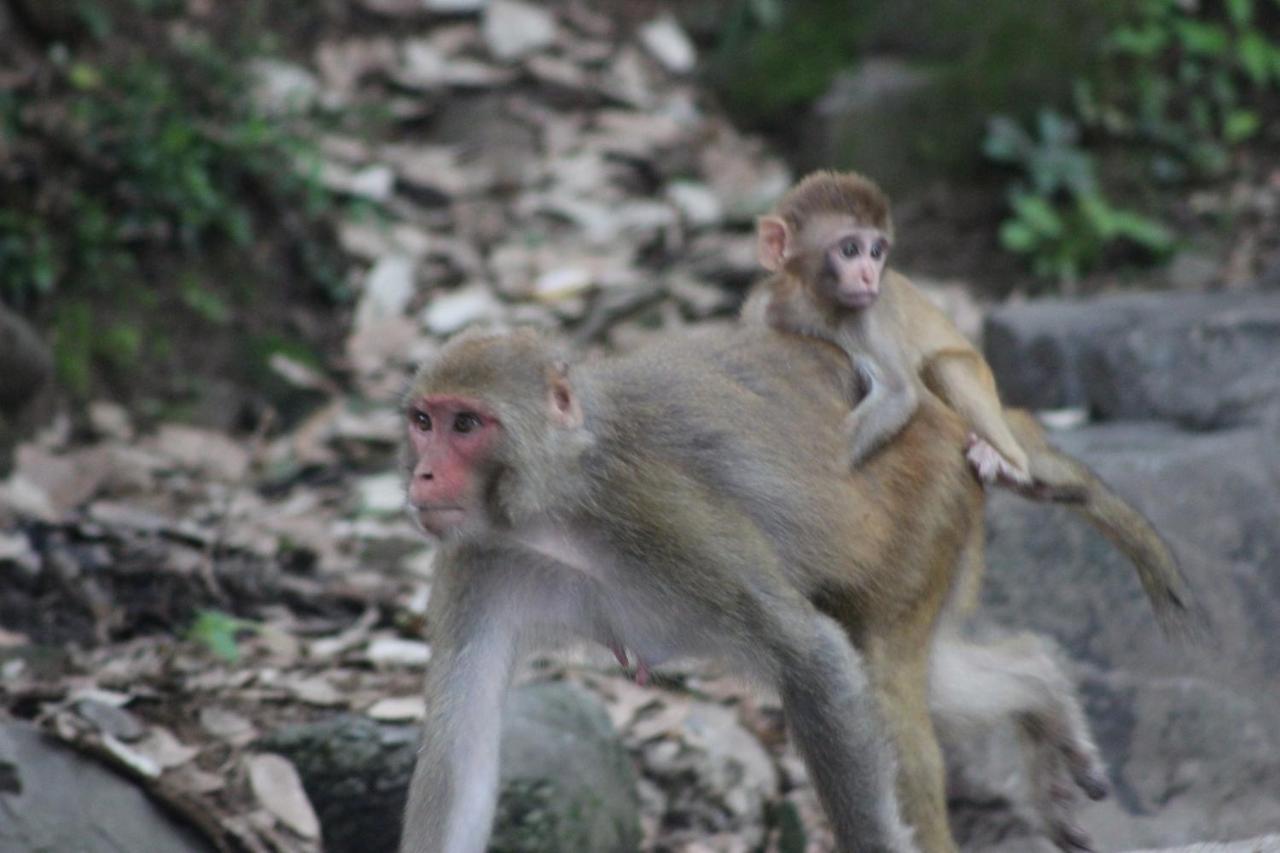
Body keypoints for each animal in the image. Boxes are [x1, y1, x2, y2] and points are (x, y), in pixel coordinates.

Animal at [757, 169, 1029, 481]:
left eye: (876, 252)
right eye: (850, 250)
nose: (869, 275)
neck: (816, 305)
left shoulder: (865, 319)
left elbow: (897, 392)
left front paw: (820, 464)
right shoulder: (766, 306)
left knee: (945, 366)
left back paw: (1010, 462)